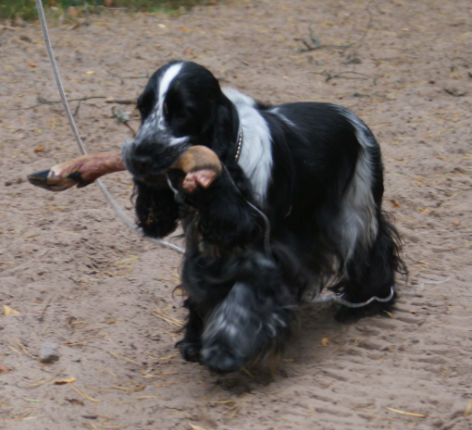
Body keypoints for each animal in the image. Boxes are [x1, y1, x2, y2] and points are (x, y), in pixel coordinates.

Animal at [121, 60, 406, 372]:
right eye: (143, 108)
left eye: (182, 112)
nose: (138, 158)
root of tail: (352, 118)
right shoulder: (204, 245)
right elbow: (200, 289)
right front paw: (194, 342)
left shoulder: (265, 250)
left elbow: (244, 295)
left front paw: (224, 351)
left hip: (354, 210)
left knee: (372, 247)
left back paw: (369, 302)